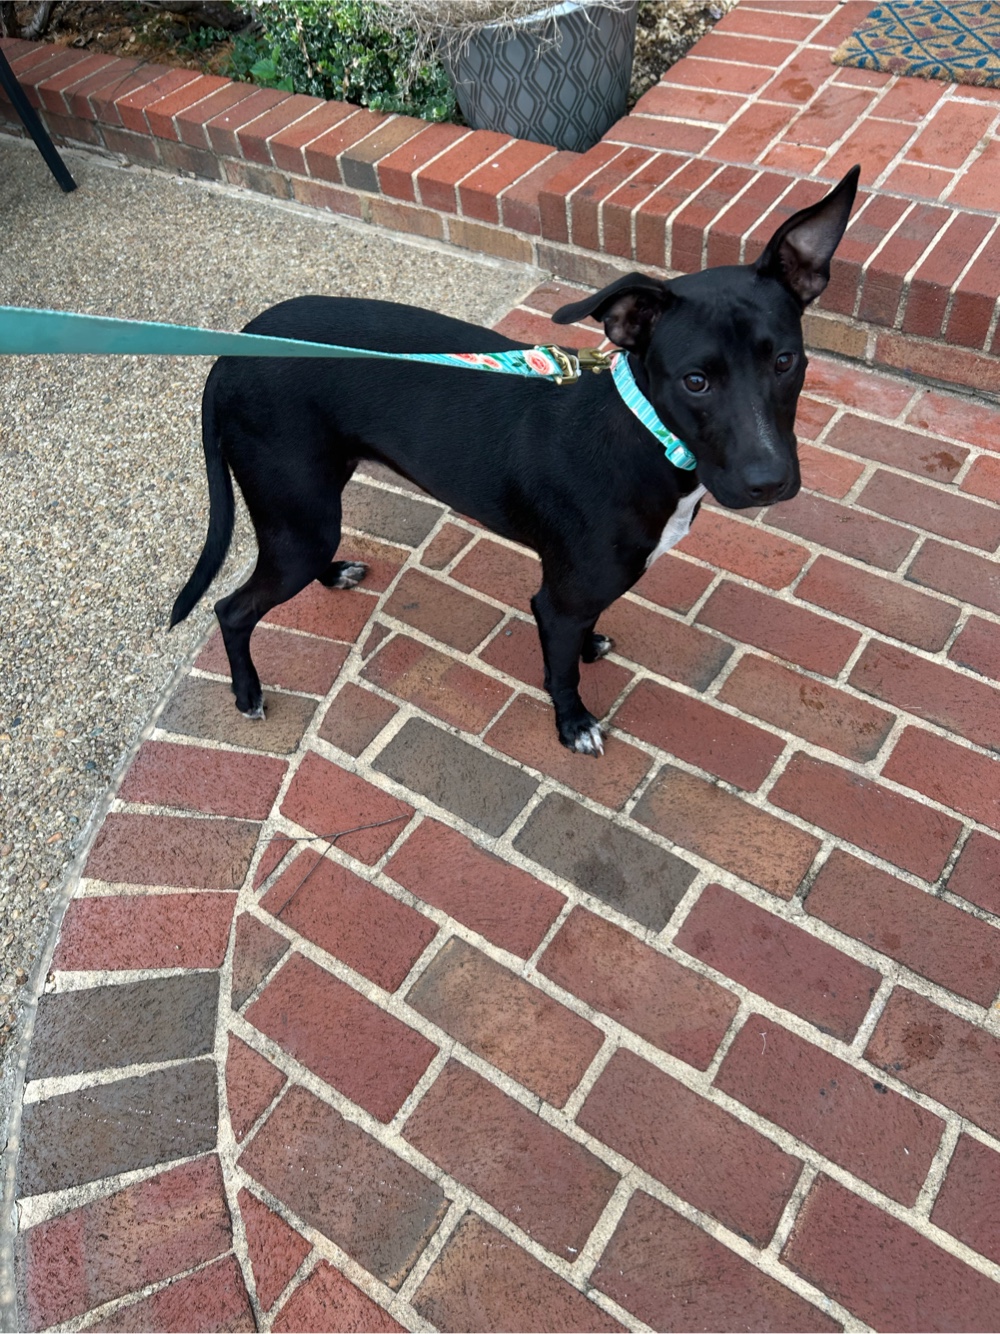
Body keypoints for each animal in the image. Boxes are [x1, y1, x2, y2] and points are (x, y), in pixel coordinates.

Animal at [171, 166, 859, 757]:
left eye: (786, 361)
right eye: (696, 381)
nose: (770, 482)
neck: (644, 433)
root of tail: (229, 356)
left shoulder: (582, 591)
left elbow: (583, 633)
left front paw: (589, 648)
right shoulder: (556, 601)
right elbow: (560, 672)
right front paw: (573, 724)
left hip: (309, 509)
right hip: (299, 519)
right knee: (232, 610)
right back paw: (248, 693)